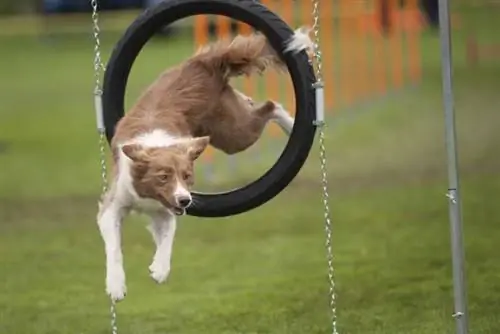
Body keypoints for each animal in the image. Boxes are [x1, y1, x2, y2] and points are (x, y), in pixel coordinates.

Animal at [96, 26, 312, 300]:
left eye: (188, 176)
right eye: (163, 177)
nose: (185, 201)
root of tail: (203, 63)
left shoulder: (167, 210)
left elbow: (168, 238)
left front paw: (160, 269)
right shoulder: (115, 203)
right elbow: (114, 246)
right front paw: (116, 286)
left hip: (233, 133)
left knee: (271, 106)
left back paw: (292, 125)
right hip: (231, 129)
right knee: (258, 104)